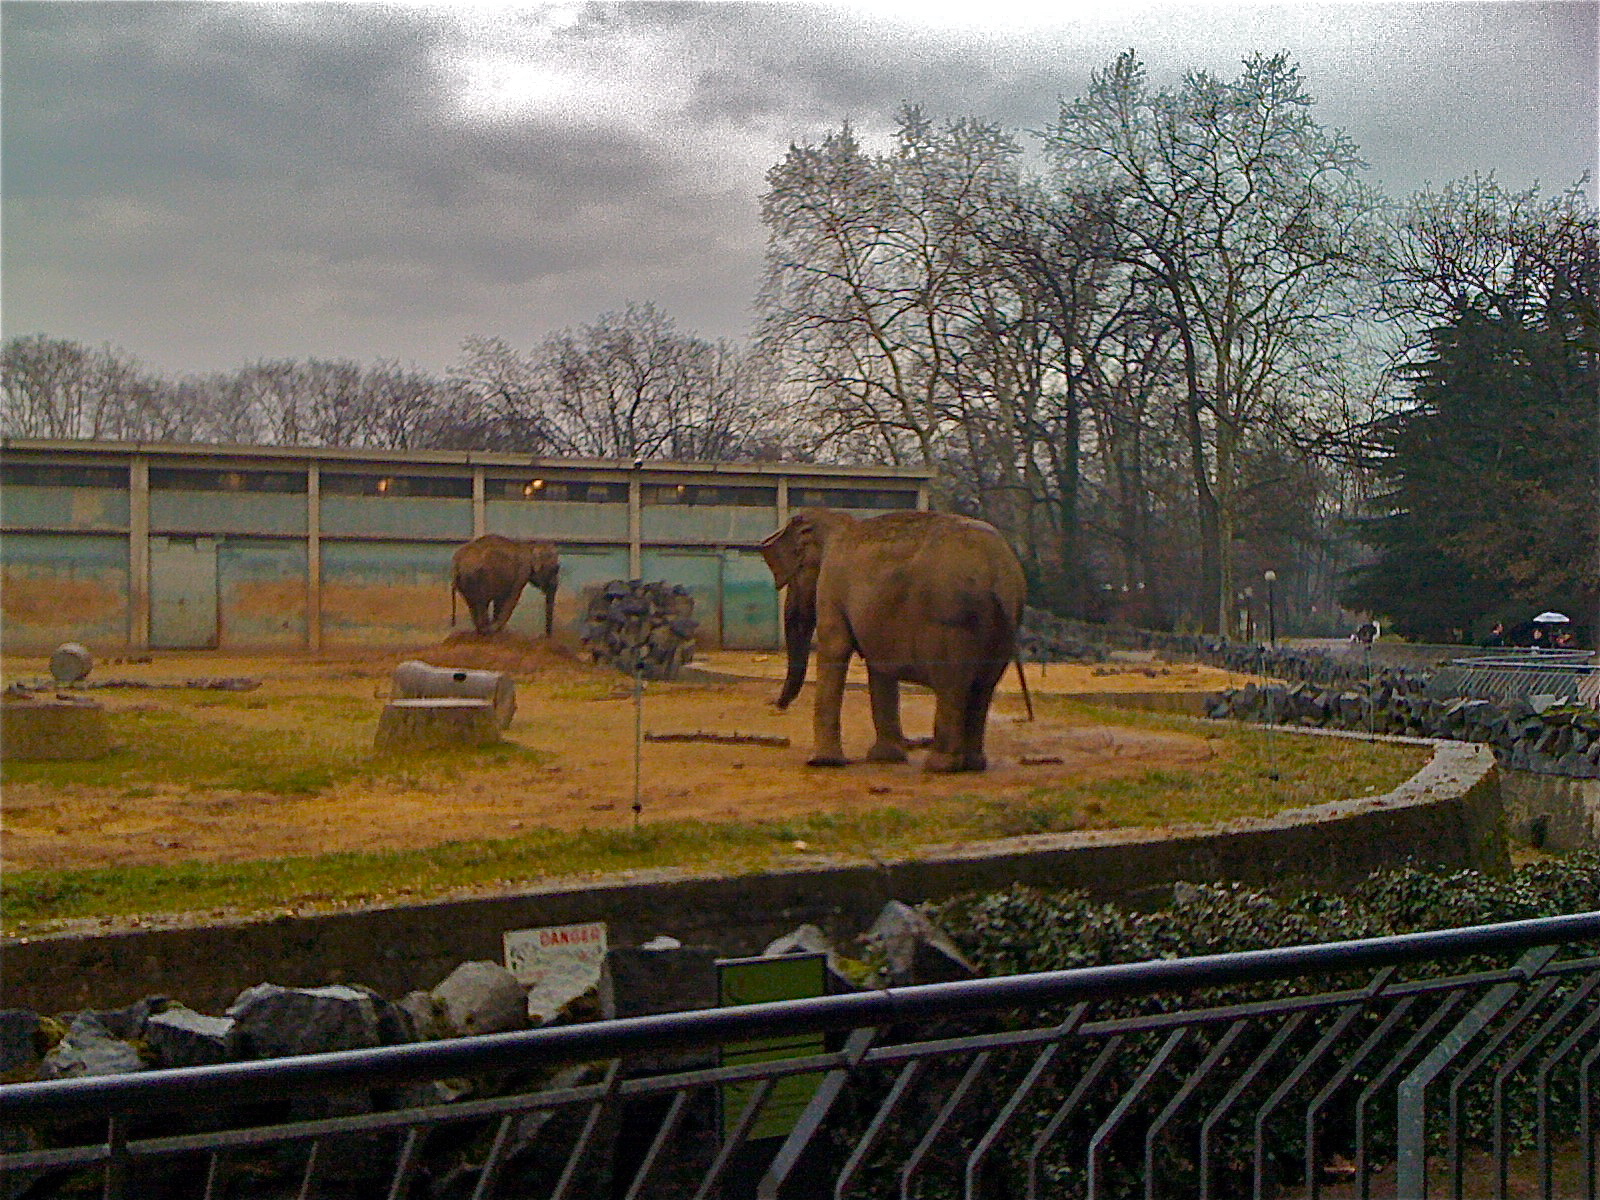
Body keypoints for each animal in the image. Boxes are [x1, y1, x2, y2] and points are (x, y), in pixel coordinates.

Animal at [758, 505, 1030, 771]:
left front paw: (823, 763)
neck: (834, 520)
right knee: (983, 686)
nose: (775, 704)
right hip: (1001, 629)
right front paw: (884, 758)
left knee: (952, 685)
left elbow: (836, 647)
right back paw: (973, 765)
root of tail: (999, 572)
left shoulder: (832, 585)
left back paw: (939, 765)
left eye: (795, 576)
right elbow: (880, 667)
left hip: (952, 623)